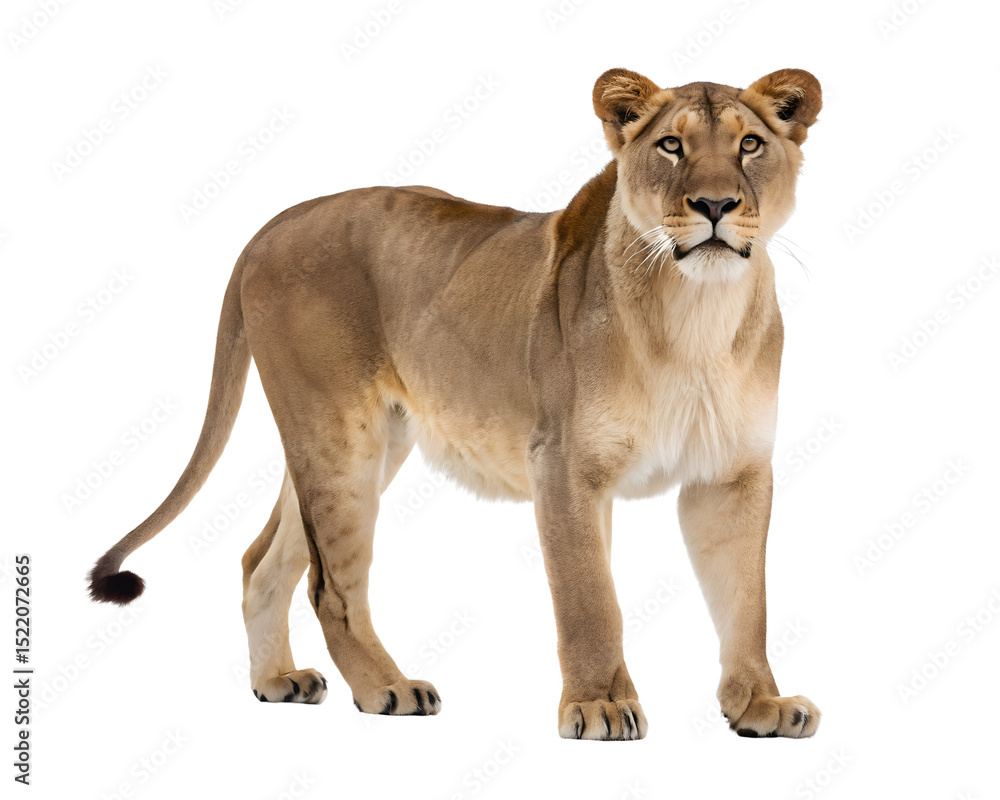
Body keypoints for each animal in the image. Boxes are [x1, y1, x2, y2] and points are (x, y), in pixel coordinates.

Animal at [89, 67, 823, 740]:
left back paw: (278, 681)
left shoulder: (732, 474)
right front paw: (599, 706)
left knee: (261, 559)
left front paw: (760, 704)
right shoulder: (562, 464)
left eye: (750, 144)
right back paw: (387, 688)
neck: (699, 315)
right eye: (672, 145)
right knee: (330, 586)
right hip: (339, 437)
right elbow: (590, 599)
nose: (715, 204)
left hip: (365, 440)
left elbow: (746, 599)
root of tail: (273, 224)